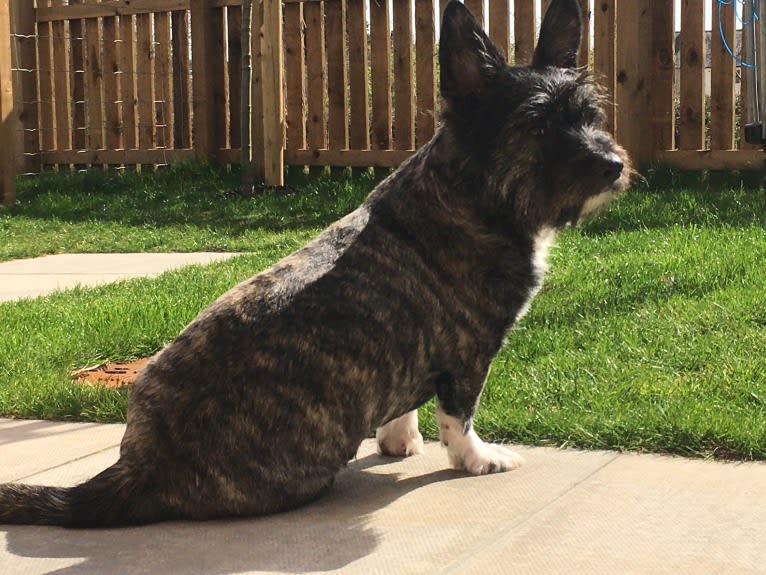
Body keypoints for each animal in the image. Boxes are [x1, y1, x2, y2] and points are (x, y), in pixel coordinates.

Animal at [1, 0, 632, 528]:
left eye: (590, 114)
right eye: (536, 126)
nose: (612, 165)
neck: (472, 190)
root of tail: (136, 470)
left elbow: (406, 398)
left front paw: (399, 439)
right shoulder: (469, 355)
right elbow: (459, 415)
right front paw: (476, 459)